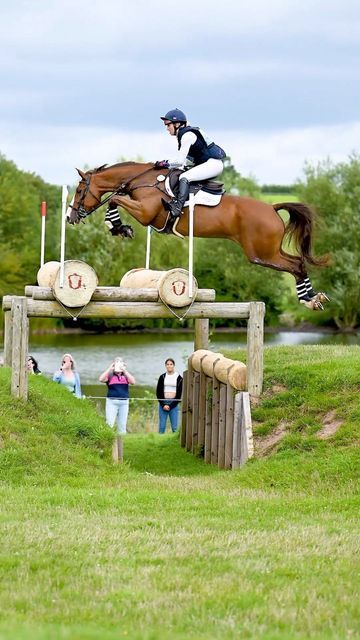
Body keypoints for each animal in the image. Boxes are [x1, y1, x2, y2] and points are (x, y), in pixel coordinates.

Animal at [67, 161, 330, 308]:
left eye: (79, 191)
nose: (70, 217)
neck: (144, 181)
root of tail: (272, 208)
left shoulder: (145, 213)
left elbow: (115, 200)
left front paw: (118, 227)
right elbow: (116, 199)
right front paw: (118, 227)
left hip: (261, 254)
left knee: (296, 264)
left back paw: (309, 300)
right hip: (268, 251)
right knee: (297, 261)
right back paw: (312, 297)